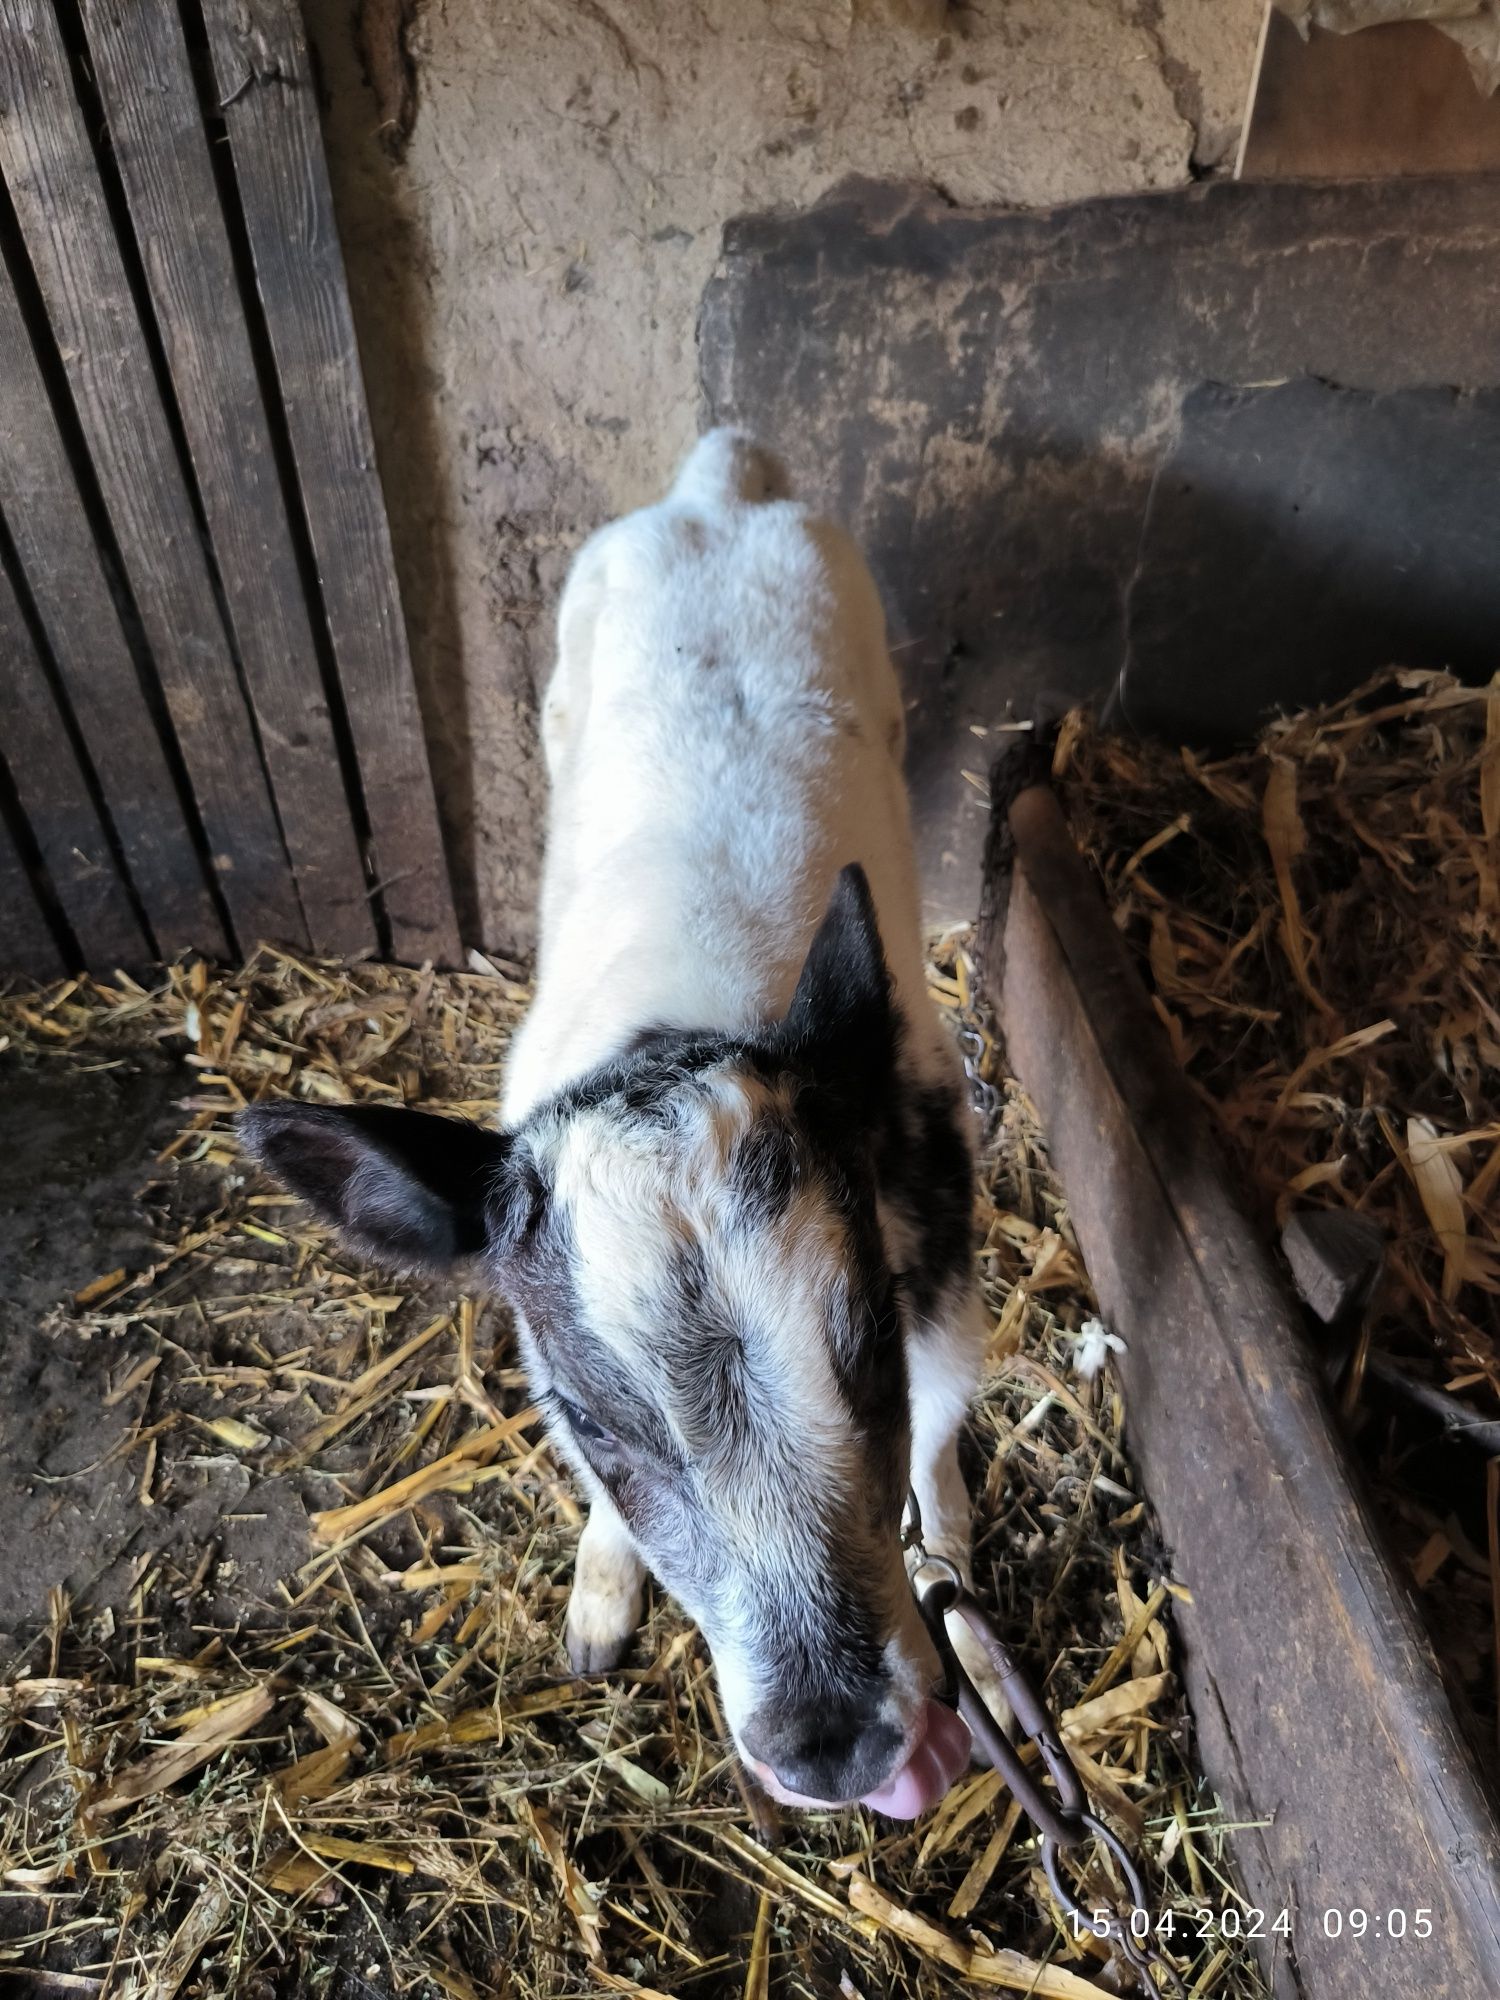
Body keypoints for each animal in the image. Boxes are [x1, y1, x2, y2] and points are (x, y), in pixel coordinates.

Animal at [244, 430, 1000, 1824]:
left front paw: (959, 1608)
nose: (830, 1742)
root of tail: (717, 486)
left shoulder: (946, 1293)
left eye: (867, 1347)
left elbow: (934, 1449)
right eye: (598, 1420)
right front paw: (601, 1595)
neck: (693, 1014)